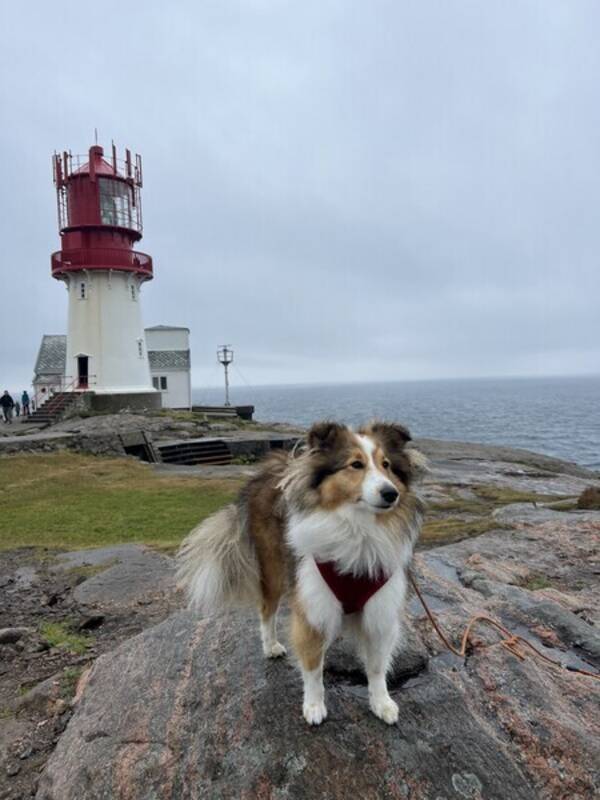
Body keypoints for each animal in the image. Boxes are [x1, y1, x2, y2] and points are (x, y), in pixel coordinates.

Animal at [177, 422, 426, 728]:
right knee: (266, 610)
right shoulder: (313, 607)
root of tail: (264, 474)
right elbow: (313, 667)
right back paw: (271, 645)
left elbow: (377, 666)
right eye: (355, 464)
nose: (391, 494)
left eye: (387, 465)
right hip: (273, 569)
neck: (358, 530)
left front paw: (382, 703)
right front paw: (314, 706)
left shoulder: (380, 611)